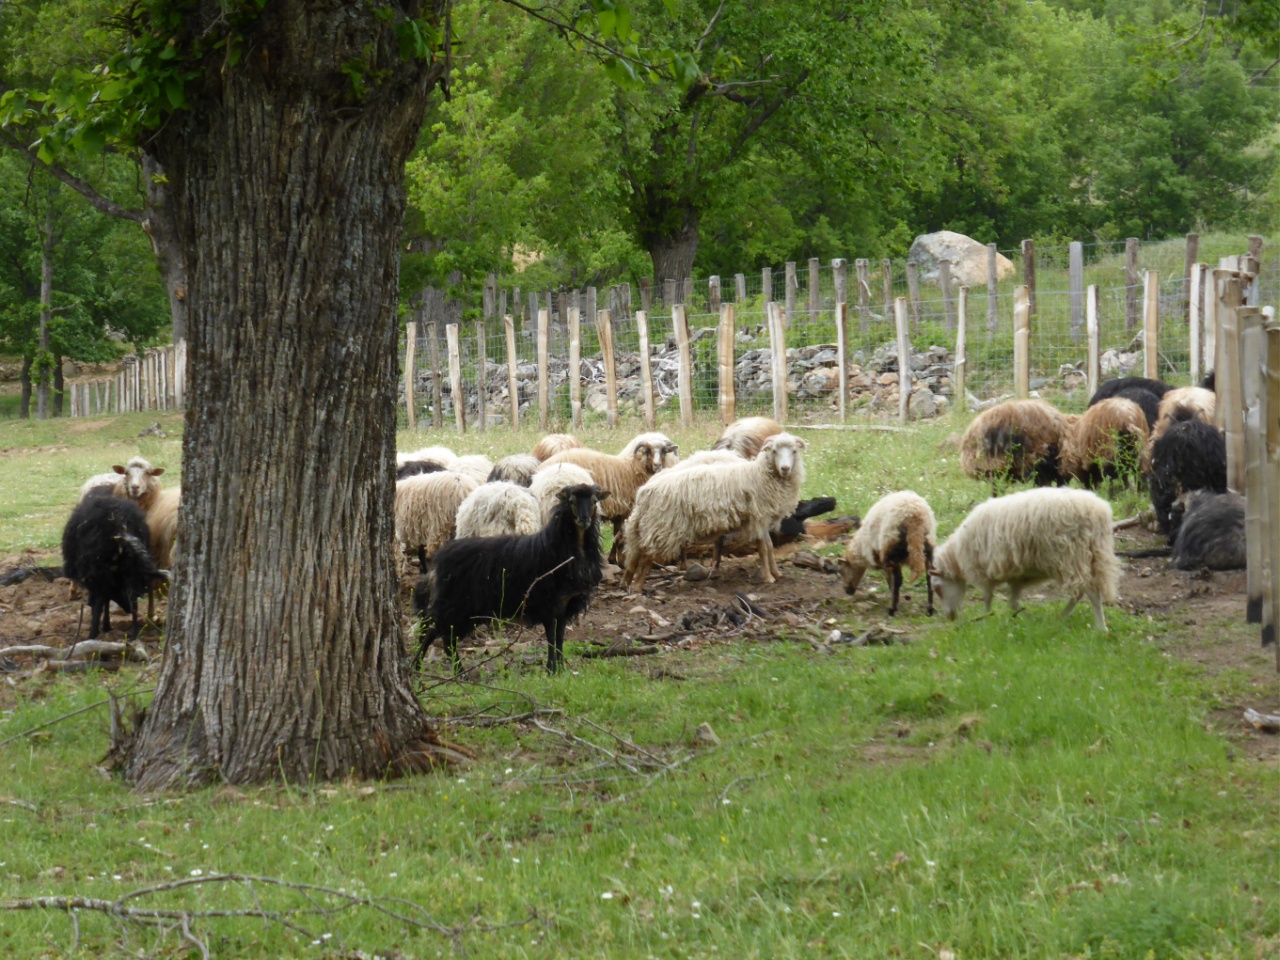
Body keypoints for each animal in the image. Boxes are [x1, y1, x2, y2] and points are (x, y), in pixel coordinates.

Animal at [61, 491, 167, 641]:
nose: (126, 609)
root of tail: (121, 524)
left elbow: (100, 602)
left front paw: (100, 627)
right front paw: (107, 626)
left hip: (103, 570)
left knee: (103, 601)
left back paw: (93, 634)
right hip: (132, 570)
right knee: (133, 601)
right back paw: (134, 634)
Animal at [416, 483, 606, 673]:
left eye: (594, 501)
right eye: (571, 501)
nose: (584, 520)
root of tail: (438, 562)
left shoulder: (565, 605)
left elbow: (559, 638)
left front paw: (560, 669)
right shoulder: (549, 603)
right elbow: (552, 637)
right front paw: (551, 669)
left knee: (441, 635)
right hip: (455, 604)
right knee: (436, 634)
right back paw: (435, 669)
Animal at [620, 433, 806, 591]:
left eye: (794, 451)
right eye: (774, 451)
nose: (785, 468)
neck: (759, 475)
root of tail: (645, 491)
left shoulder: (763, 519)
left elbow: (769, 546)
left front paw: (777, 573)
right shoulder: (757, 517)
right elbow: (763, 548)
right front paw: (768, 577)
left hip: (650, 523)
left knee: (636, 552)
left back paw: (627, 581)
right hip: (663, 525)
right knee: (647, 555)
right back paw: (637, 587)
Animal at [931, 487, 1119, 630]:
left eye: (938, 589)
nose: (950, 617)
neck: (956, 556)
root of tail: (1097, 512)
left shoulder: (985, 571)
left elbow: (988, 597)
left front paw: (987, 617)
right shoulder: (1018, 576)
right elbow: (1012, 601)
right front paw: (1026, 616)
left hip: (1071, 556)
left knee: (1090, 592)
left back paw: (1100, 627)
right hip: (1094, 555)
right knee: (1080, 591)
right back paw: (1062, 617)